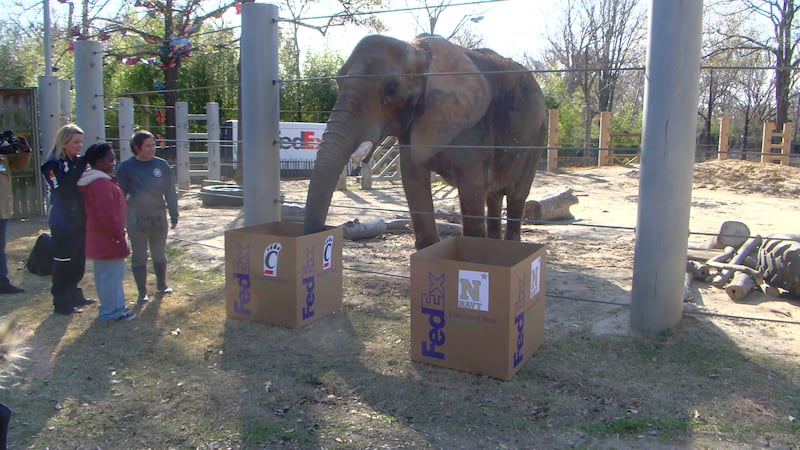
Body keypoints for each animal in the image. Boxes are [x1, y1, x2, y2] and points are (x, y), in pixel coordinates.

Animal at [303, 34, 547, 250]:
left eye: (391, 89)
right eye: (337, 79)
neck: (419, 54)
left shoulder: (472, 126)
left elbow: (471, 188)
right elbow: (413, 179)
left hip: (537, 135)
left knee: (516, 194)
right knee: (494, 195)